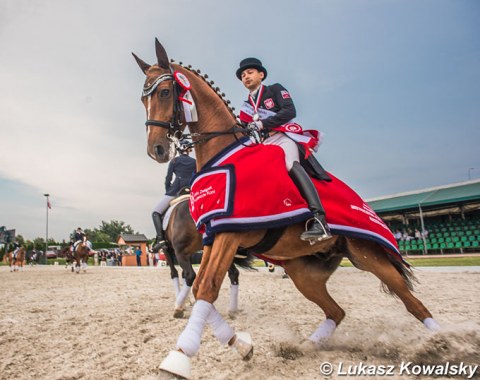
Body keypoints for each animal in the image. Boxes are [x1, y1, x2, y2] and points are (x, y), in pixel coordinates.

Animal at [132, 38, 438, 378]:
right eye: (143, 98)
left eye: (164, 92)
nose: (157, 149)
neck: (221, 154)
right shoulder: (214, 236)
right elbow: (200, 286)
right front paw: (241, 345)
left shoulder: (228, 237)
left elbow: (208, 287)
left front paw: (180, 355)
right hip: (303, 273)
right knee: (336, 311)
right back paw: (306, 346)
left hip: (368, 254)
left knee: (412, 303)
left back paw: (442, 342)